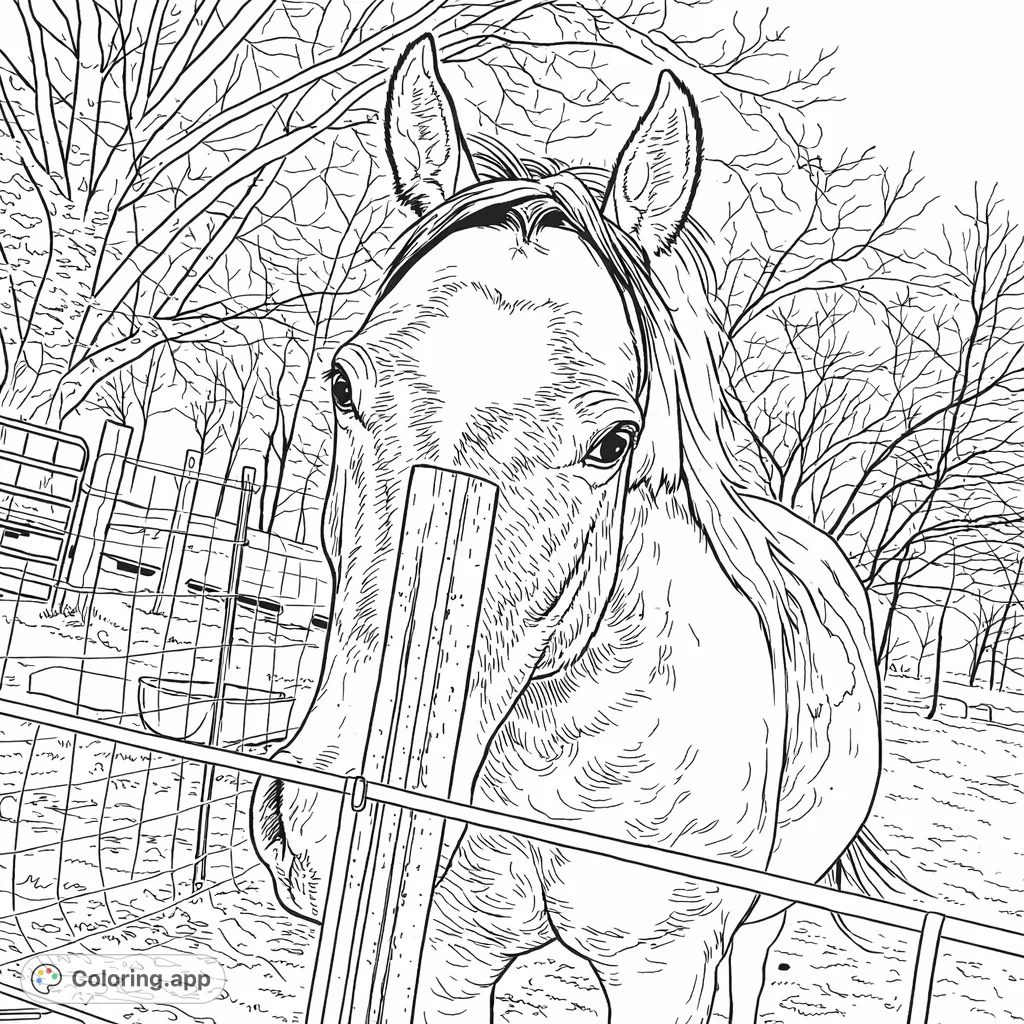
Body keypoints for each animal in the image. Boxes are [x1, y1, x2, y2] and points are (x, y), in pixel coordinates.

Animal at [251, 34, 900, 1023]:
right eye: (342, 384)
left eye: (613, 442)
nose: (332, 826)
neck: (556, 753)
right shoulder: (448, 953)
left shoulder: (665, 970)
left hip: (763, 921)